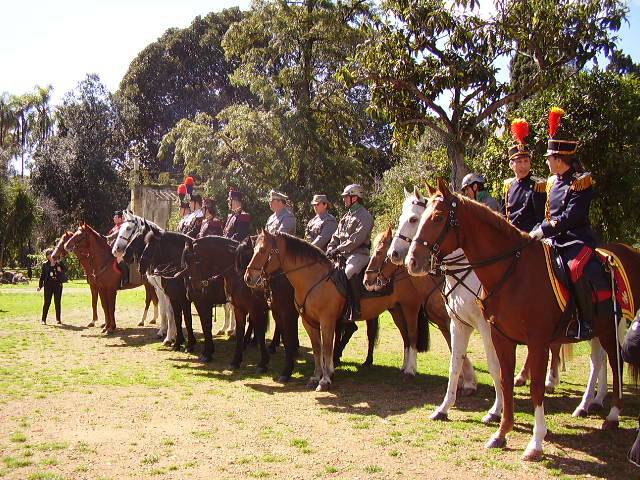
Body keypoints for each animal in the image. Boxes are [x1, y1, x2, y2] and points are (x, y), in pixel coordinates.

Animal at [245, 231, 470, 392]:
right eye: (253, 249)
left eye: (263, 250)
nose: (248, 277)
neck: (314, 279)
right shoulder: (309, 323)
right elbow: (317, 349)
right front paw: (316, 376)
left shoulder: (327, 321)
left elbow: (327, 348)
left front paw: (325, 380)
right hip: (396, 311)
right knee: (406, 338)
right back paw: (403, 367)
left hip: (410, 309)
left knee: (413, 337)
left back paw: (410, 370)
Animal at [408, 177, 640, 462]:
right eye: (419, 218)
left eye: (438, 217)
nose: (411, 261)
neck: (512, 273)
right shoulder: (497, 336)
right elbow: (502, 378)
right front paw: (501, 431)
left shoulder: (536, 341)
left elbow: (536, 388)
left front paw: (536, 442)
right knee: (599, 360)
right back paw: (590, 403)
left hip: (611, 326)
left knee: (615, 362)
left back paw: (613, 414)